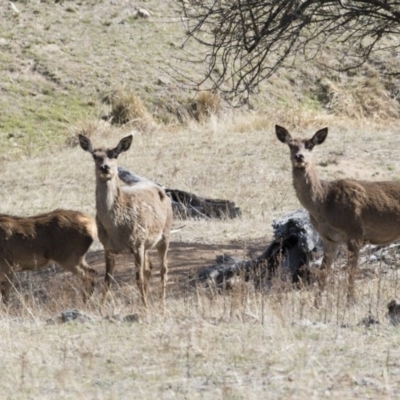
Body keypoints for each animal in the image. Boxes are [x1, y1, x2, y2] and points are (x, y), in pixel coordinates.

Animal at [78, 134, 173, 310]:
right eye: (95, 155)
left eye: (115, 155)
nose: (105, 167)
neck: (116, 227)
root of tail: (162, 189)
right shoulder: (108, 246)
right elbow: (107, 281)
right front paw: (101, 309)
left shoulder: (137, 243)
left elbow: (138, 279)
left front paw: (145, 309)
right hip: (146, 243)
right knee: (150, 267)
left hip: (165, 233)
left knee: (164, 269)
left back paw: (162, 306)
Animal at [276, 125, 400, 304]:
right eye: (291, 145)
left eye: (310, 145)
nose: (299, 157)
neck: (325, 203)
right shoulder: (329, 238)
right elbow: (324, 271)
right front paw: (317, 303)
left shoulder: (355, 231)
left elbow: (351, 271)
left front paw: (350, 301)